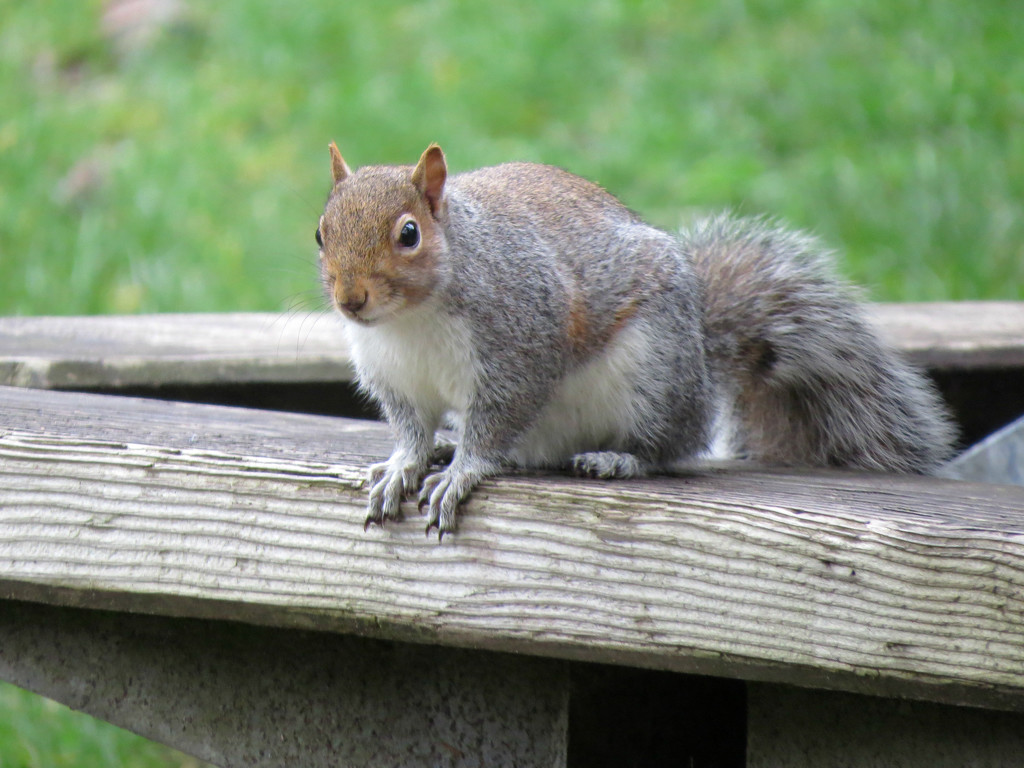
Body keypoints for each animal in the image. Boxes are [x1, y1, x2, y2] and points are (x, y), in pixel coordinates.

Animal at [315, 145, 954, 540]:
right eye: (320, 232)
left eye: (409, 234)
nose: (351, 300)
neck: (409, 321)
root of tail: (703, 364)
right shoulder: (395, 377)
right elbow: (411, 429)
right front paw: (407, 463)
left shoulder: (521, 344)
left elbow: (496, 420)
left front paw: (461, 471)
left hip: (654, 373)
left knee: (670, 445)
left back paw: (617, 458)